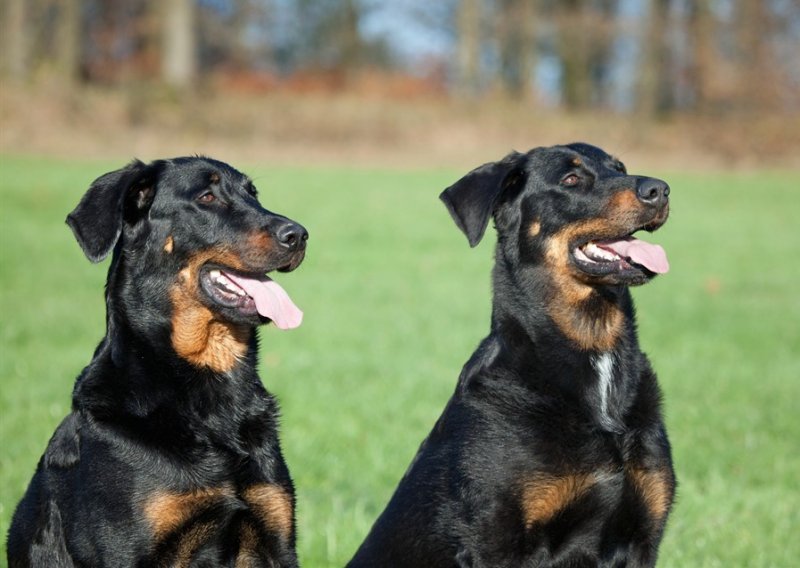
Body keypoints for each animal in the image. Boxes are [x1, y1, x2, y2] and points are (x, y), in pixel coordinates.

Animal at [350, 143, 676, 568]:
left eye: (619, 168)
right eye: (571, 179)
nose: (660, 189)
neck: (593, 347)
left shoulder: (642, 534)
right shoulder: (497, 539)